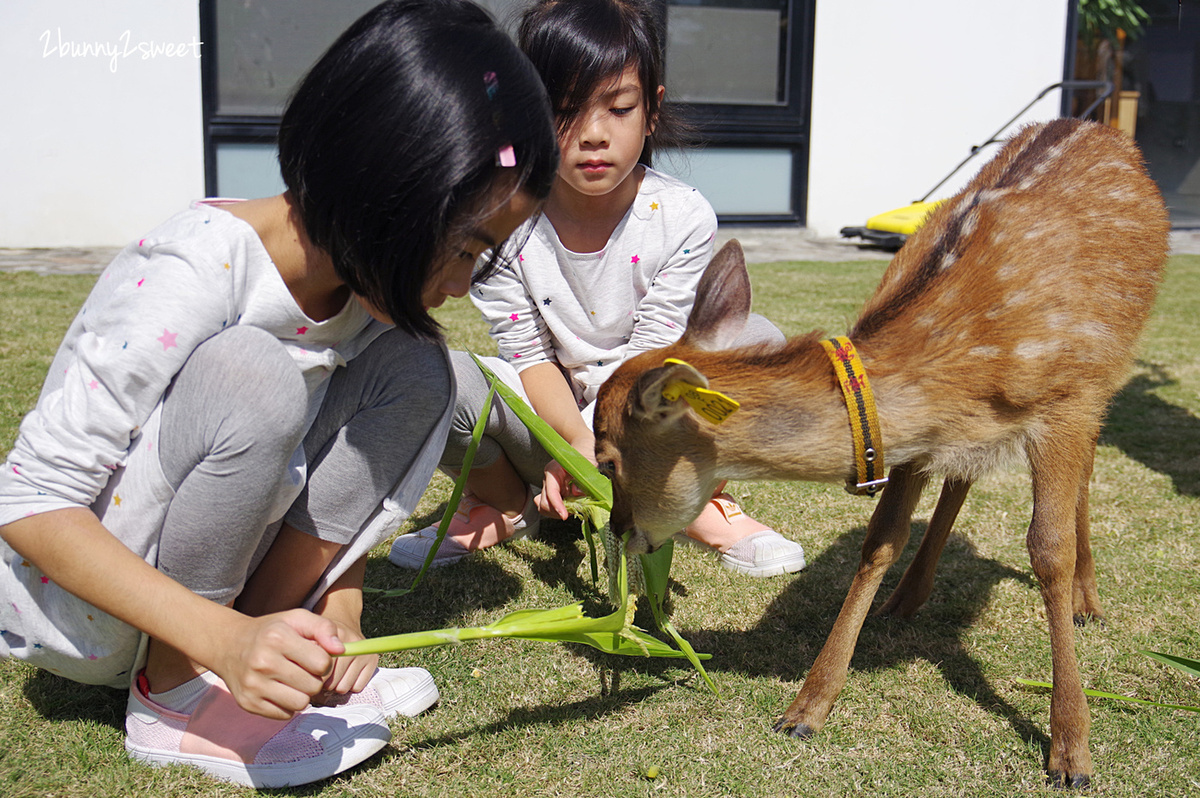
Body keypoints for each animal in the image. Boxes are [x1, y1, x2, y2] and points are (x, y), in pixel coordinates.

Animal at [592, 118, 1171, 782]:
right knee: (961, 480)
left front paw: (1071, 750)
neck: (969, 360)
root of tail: (1095, 124)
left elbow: (1048, 548)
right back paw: (909, 597)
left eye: (607, 457)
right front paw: (806, 709)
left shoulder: (1067, 399)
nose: (618, 528)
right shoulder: (916, 437)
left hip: (1110, 369)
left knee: (1086, 475)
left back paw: (1087, 601)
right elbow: (880, 540)